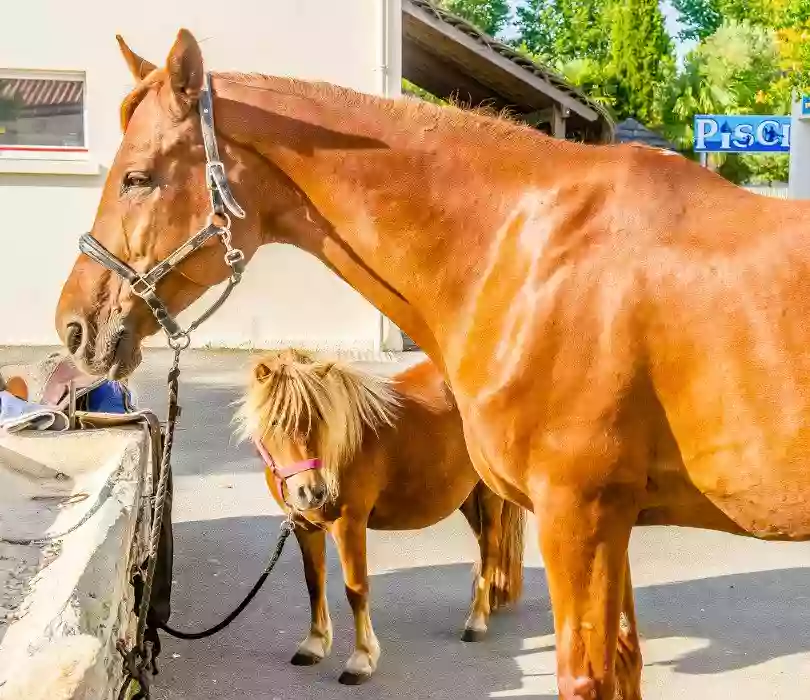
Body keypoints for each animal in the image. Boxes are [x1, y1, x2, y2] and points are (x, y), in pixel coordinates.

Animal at [234, 350, 524, 684]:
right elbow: (313, 582)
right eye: (276, 421)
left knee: (490, 549)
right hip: (467, 498)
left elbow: (356, 589)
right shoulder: (305, 528)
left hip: (488, 494)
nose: (313, 492)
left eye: (320, 417)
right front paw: (314, 644)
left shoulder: (350, 526)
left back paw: (476, 622)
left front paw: (361, 659)